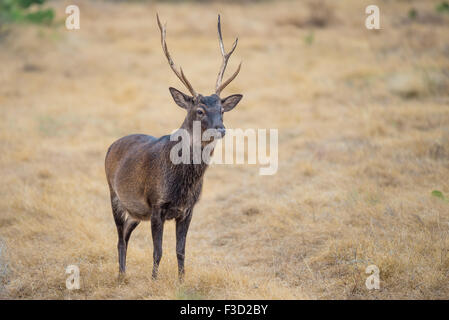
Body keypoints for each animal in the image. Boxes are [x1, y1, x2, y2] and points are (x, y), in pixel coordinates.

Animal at [105, 14, 243, 280]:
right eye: (199, 110)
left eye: (222, 110)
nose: (221, 129)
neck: (181, 184)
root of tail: (111, 146)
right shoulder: (156, 204)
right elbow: (157, 251)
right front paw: (154, 281)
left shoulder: (188, 209)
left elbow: (181, 251)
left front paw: (181, 281)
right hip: (115, 195)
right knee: (119, 238)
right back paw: (121, 275)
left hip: (136, 211)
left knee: (126, 233)